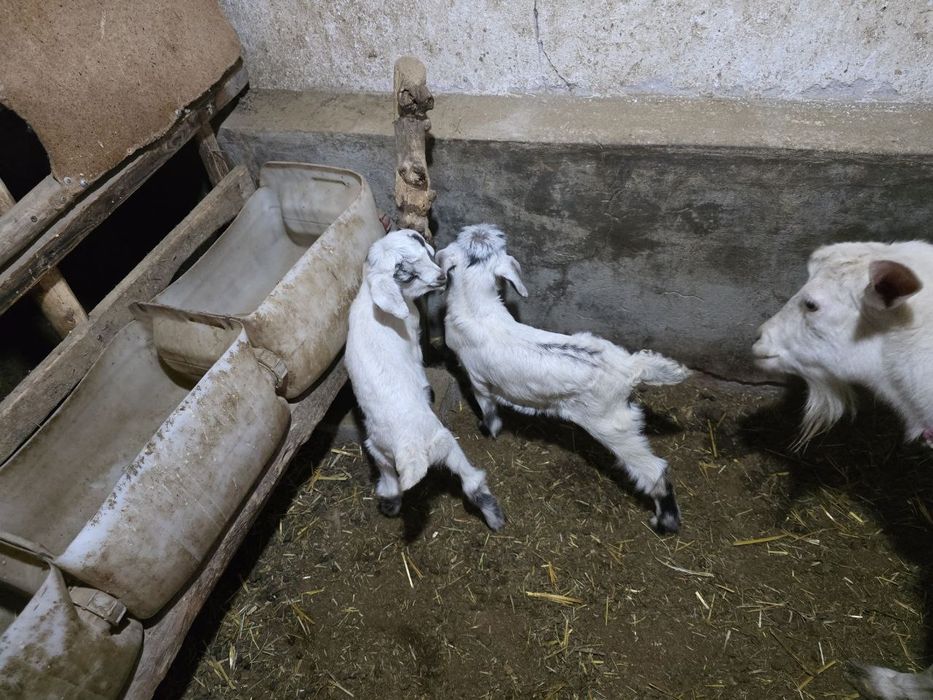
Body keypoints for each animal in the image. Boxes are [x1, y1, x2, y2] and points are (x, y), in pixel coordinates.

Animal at [345, 229, 505, 531]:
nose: (441, 277)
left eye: (423, 254)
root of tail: (410, 446)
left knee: (391, 477)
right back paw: (496, 519)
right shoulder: (414, 343)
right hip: (442, 441)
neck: (371, 302)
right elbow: (419, 368)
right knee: (472, 480)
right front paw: (427, 389)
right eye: (406, 275)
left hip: (381, 449)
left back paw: (390, 503)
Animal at [437, 224, 690, 533]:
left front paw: (487, 430)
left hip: (611, 425)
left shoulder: (478, 380)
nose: (487, 228)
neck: (478, 311)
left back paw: (664, 522)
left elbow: (489, 410)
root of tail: (629, 368)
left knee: (654, 470)